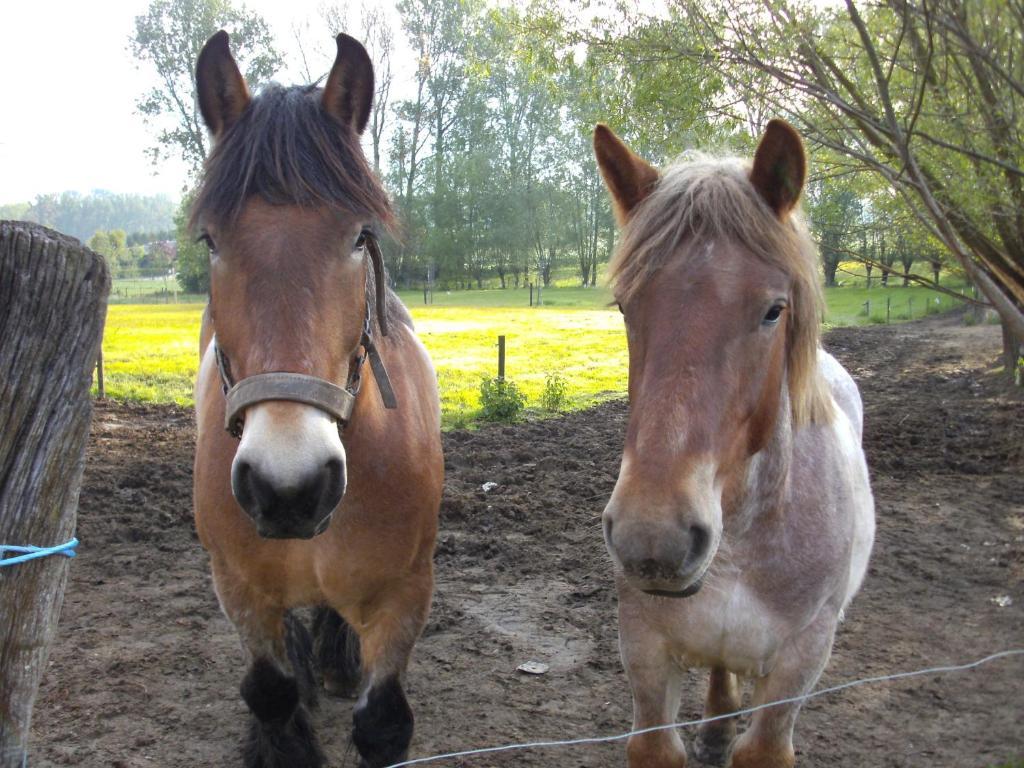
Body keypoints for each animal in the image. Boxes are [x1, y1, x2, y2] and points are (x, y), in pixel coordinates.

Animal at [190, 31, 442, 768]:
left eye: (359, 236)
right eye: (211, 240)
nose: (289, 487)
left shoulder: (404, 590)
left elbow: (384, 721)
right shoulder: (239, 588)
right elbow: (270, 694)